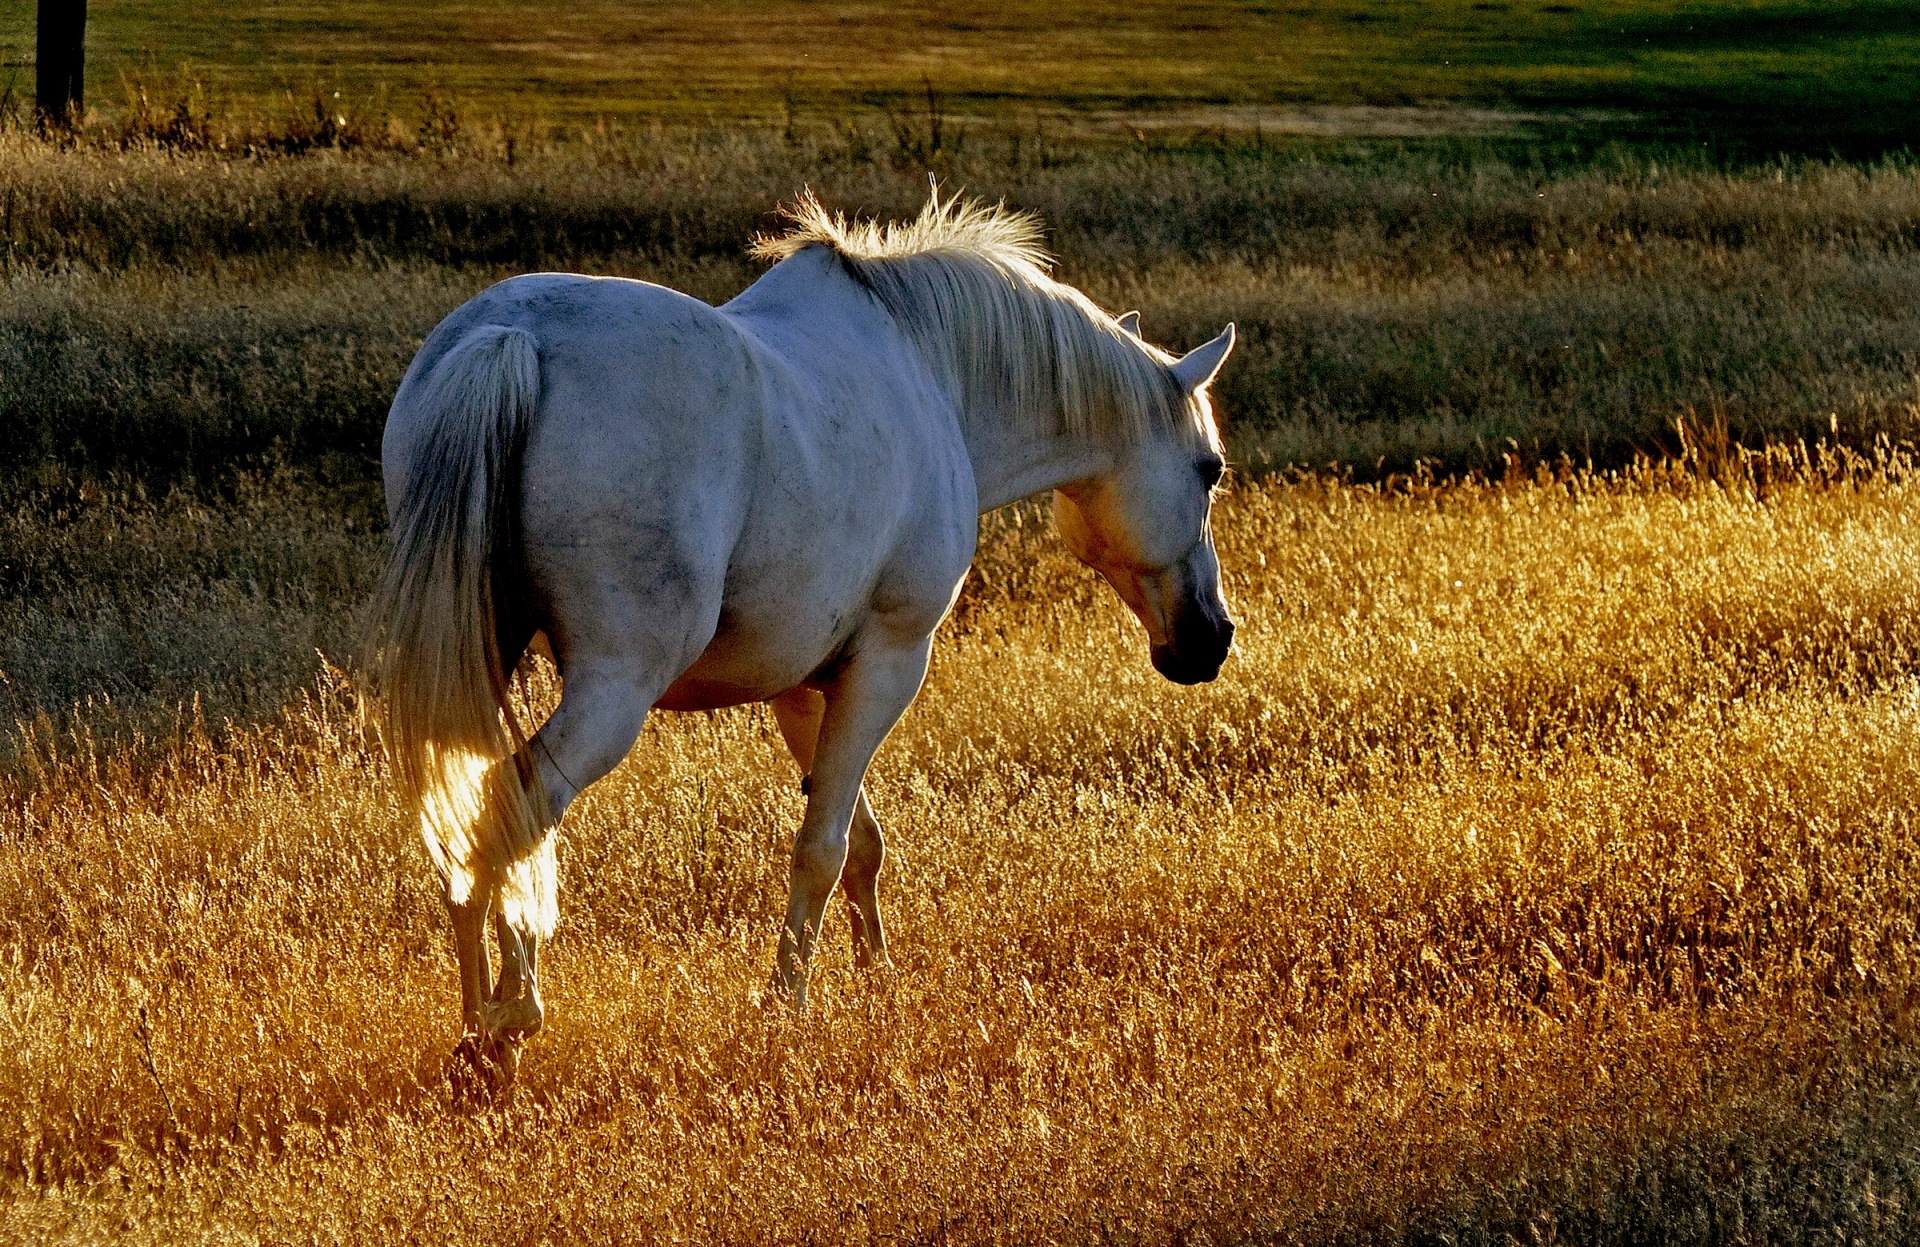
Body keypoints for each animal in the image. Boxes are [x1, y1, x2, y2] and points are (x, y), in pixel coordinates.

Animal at [366, 189, 1236, 1083]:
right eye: (1210, 468)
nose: (1211, 639)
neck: (928, 372)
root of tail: (510, 340)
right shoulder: (889, 663)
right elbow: (823, 845)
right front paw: (788, 1004)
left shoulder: (802, 685)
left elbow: (860, 843)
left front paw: (877, 978)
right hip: (614, 691)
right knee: (518, 800)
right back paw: (513, 1016)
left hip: (484, 655)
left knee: (464, 819)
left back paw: (474, 1025)